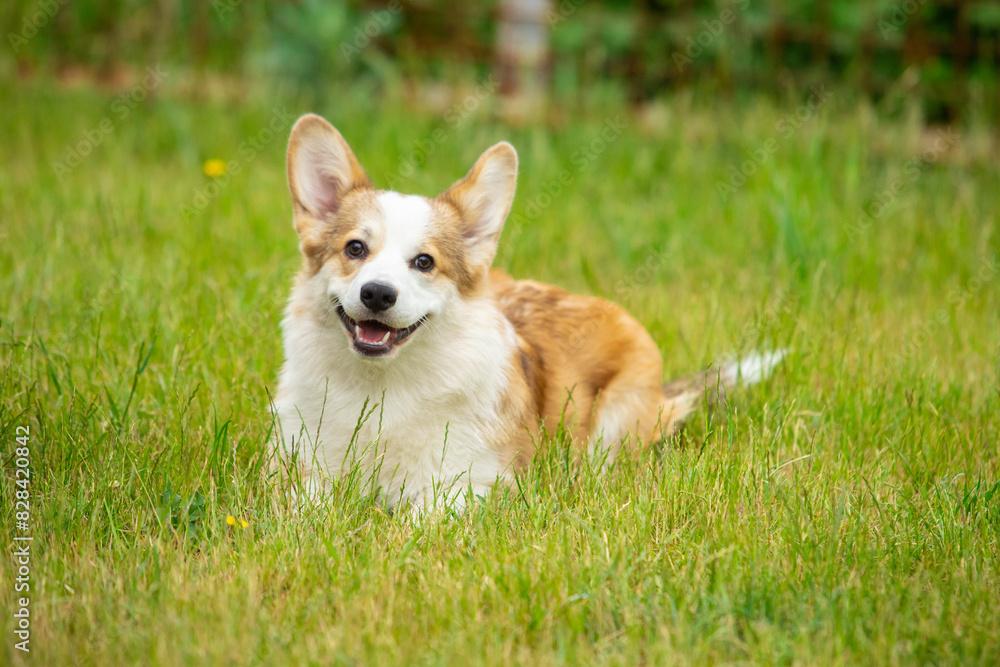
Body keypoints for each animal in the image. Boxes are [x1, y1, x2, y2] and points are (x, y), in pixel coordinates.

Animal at [272, 115, 780, 512]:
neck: (383, 387)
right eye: (355, 248)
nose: (378, 294)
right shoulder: (302, 469)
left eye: (425, 262)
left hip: (612, 425)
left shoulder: (469, 483)